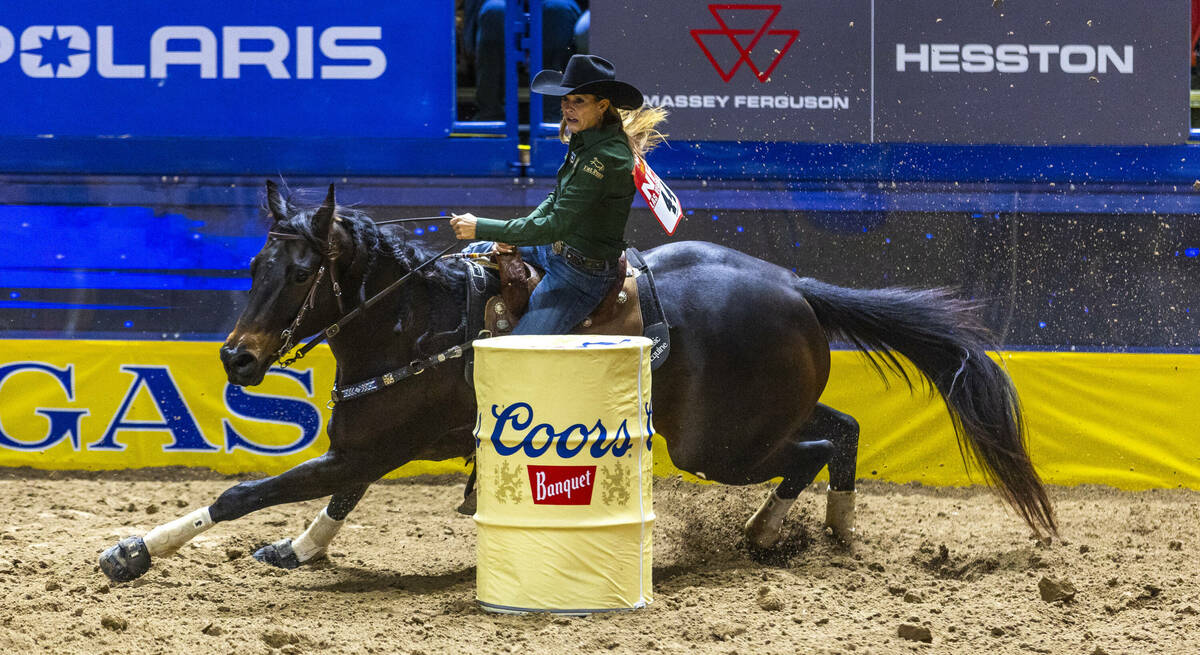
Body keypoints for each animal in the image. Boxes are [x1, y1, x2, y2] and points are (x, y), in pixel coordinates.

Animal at [98, 179, 1056, 580]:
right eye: (255, 261)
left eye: (300, 273)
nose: (236, 359)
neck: (416, 317)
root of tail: (794, 285)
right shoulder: (369, 444)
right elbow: (335, 498)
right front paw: (299, 549)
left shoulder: (372, 445)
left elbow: (246, 493)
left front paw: (133, 551)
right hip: (757, 417)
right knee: (842, 429)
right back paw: (813, 529)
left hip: (718, 444)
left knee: (818, 445)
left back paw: (781, 528)